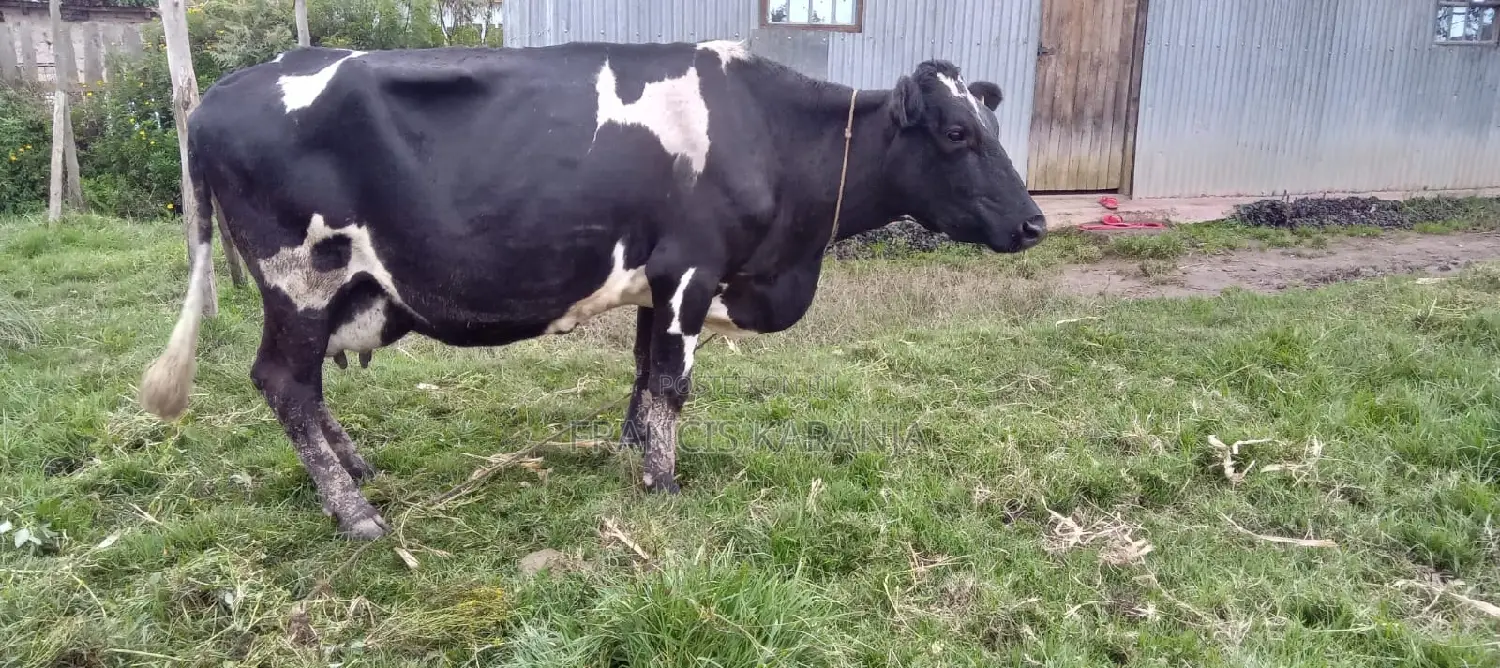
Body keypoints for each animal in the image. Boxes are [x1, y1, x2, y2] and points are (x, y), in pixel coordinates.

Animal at [137, 39, 1046, 540]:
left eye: (992, 126)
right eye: (957, 133)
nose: (1036, 222)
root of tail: (219, 95)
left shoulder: (657, 280)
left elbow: (642, 373)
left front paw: (632, 453)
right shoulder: (692, 267)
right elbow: (673, 383)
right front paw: (665, 483)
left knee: (305, 384)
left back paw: (352, 468)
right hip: (300, 275)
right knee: (283, 381)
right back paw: (353, 511)